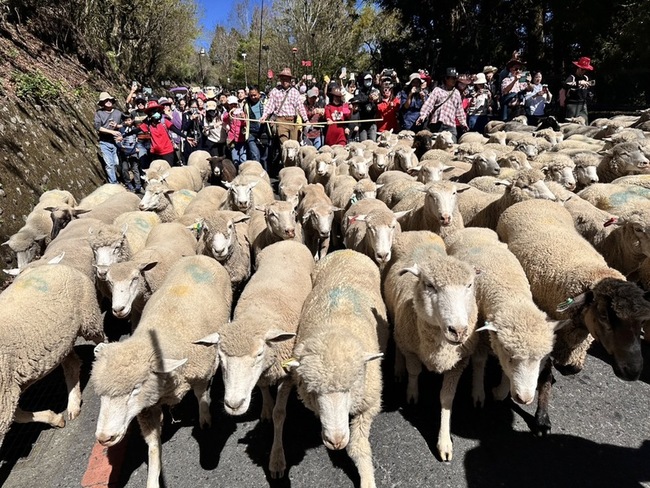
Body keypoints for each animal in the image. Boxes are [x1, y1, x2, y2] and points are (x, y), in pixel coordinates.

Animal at [91, 255, 232, 488]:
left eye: (135, 389)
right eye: (100, 394)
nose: (104, 438)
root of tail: (200, 256)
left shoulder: (200, 371)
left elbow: (201, 395)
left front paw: (205, 418)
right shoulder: (147, 410)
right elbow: (153, 447)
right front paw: (153, 479)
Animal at [288, 250, 384, 488]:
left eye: (349, 389)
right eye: (313, 392)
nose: (335, 441)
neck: (335, 328)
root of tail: (346, 251)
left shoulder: (370, 403)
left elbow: (358, 447)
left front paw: (367, 479)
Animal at [382, 231, 478, 460]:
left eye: (469, 286)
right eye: (430, 286)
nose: (458, 331)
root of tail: (416, 232)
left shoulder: (459, 362)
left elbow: (446, 397)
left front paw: (444, 442)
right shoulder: (411, 349)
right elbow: (414, 371)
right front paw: (412, 393)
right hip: (395, 319)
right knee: (397, 343)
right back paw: (398, 369)